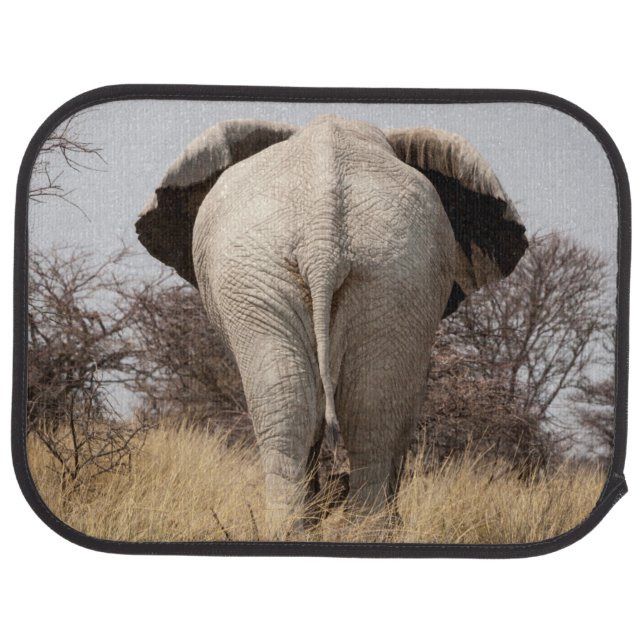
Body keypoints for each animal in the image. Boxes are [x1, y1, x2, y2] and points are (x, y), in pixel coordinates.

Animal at [136, 115, 528, 535]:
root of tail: (323, 236)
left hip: (383, 275)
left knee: (341, 408)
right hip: (294, 274)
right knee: (340, 409)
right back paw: (343, 530)